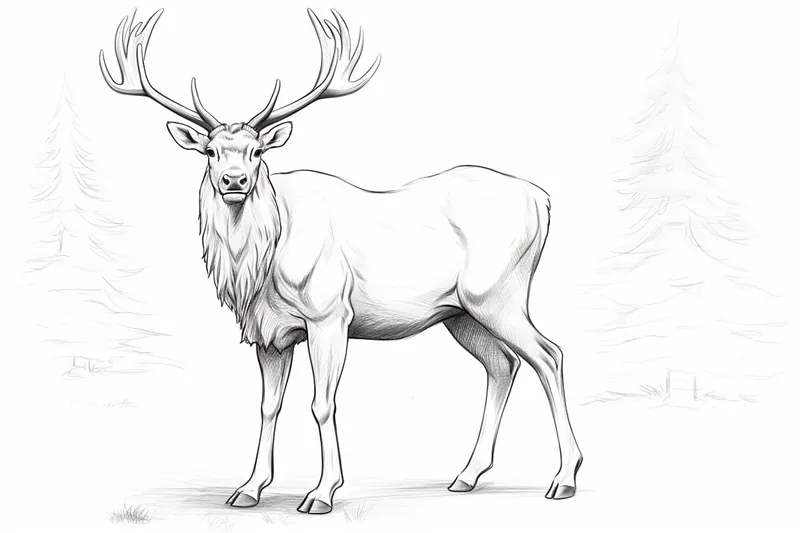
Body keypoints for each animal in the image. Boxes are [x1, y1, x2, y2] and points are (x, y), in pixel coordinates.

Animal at [99, 8, 583, 514]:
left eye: (257, 151)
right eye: (210, 151)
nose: (234, 181)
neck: (259, 266)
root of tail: (544, 200)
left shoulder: (329, 314)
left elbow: (322, 403)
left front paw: (322, 492)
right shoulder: (270, 334)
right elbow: (268, 405)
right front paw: (249, 487)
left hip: (499, 294)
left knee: (549, 355)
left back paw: (564, 478)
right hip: (461, 312)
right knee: (502, 364)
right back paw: (467, 475)